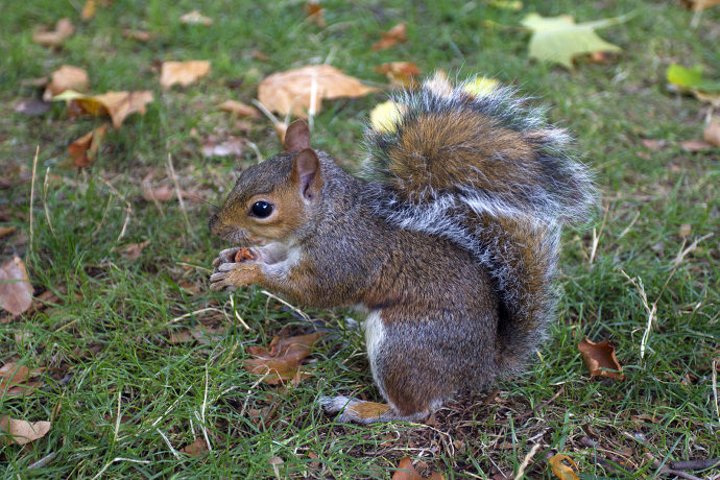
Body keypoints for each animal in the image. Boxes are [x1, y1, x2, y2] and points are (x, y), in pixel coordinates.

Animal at [210, 74, 596, 424]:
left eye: (262, 208)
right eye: (243, 175)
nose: (215, 228)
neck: (328, 217)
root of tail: (482, 368)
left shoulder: (343, 257)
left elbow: (311, 290)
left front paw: (246, 272)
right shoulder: (292, 248)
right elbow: (274, 255)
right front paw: (235, 258)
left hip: (402, 345)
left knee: (415, 410)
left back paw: (357, 409)